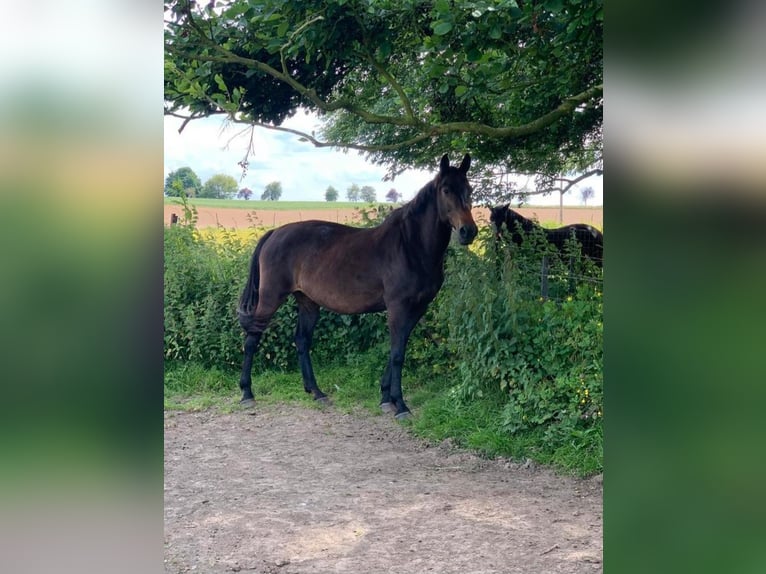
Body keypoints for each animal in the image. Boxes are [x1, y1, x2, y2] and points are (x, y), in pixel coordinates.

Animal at [240, 155, 480, 420]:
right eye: (446, 190)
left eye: (469, 190)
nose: (468, 231)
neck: (411, 246)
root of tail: (274, 234)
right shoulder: (398, 307)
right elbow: (398, 354)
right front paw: (400, 405)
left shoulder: (417, 309)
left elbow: (397, 350)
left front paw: (386, 398)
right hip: (270, 297)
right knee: (252, 339)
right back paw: (247, 394)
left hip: (307, 302)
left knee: (302, 340)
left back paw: (317, 392)